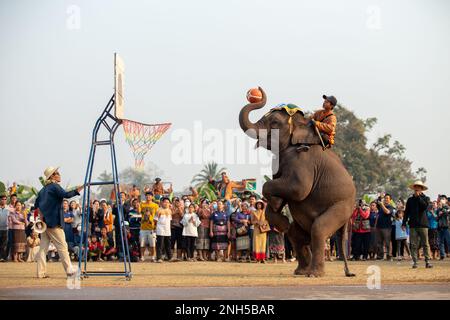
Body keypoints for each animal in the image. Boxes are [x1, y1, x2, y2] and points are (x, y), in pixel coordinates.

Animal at [239, 87, 356, 278]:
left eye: (275, 122)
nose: (256, 91)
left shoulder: (303, 161)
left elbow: (297, 189)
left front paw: (277, 207)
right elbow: (282, 191)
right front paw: (280, 215)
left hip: (342, 208)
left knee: (319, 230)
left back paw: (314, 274)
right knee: (295, 233)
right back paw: (301, 270)